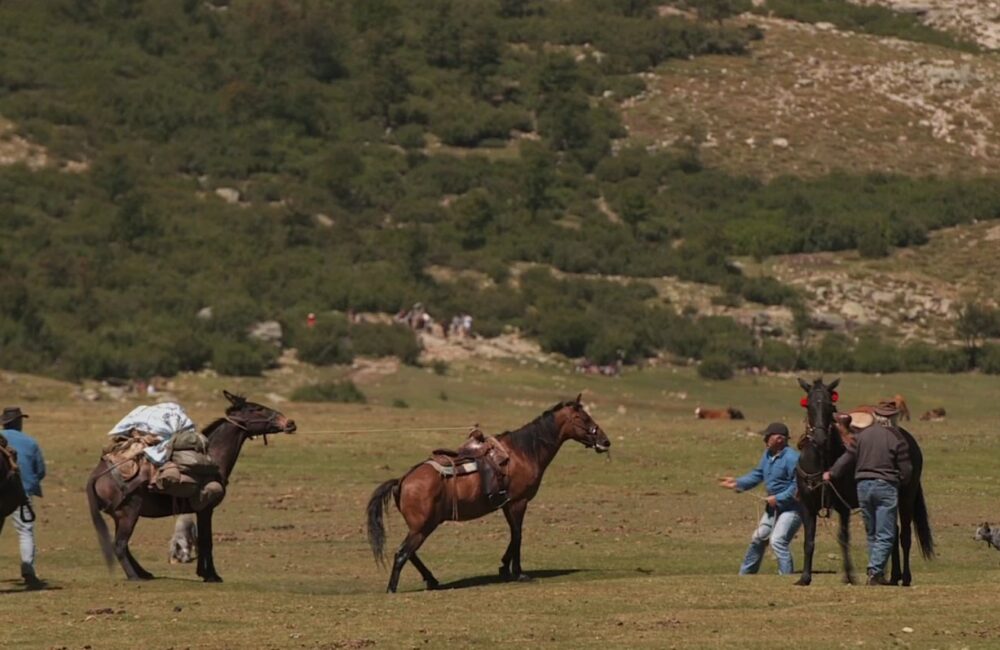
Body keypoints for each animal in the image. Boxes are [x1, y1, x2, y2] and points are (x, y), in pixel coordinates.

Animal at [86, 391, 296, 582]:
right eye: (256, 409)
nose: (290, 423)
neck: (213, 458)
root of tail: (97, 474)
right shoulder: (206, 509)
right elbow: (206, 541)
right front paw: (211, 575)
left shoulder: (201, 511)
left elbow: (202, 541)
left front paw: (204, 572)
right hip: (129, 513)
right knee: (120, 545)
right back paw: (135, 577)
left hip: (120, 516)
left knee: (123, 545)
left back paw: (144, 573)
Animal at [366, 395, 611, 593]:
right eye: (584, 418)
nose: (605, 441)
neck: (522, 452)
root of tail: (403, 480)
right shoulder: (518, 502)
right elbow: (518, 535)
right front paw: (518, 572)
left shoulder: (506, 504)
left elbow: (513, 534)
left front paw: (504, 567)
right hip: (422, 526)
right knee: (402, 554)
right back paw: (392, 588)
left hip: (423, 526)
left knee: (409, 552)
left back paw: (432, 580)